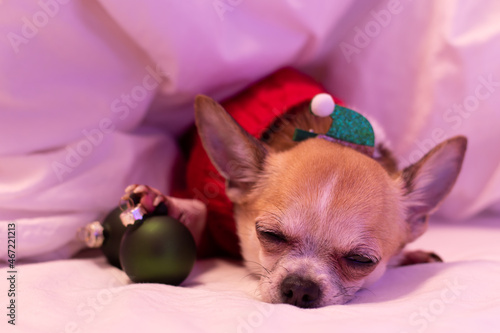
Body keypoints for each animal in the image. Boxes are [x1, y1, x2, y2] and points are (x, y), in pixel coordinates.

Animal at [123, 90, 466, 306]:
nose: (300, 289)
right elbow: (199, 216)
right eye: (269, 235)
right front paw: (167, 203)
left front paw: (412, 256)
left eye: (361, 260)